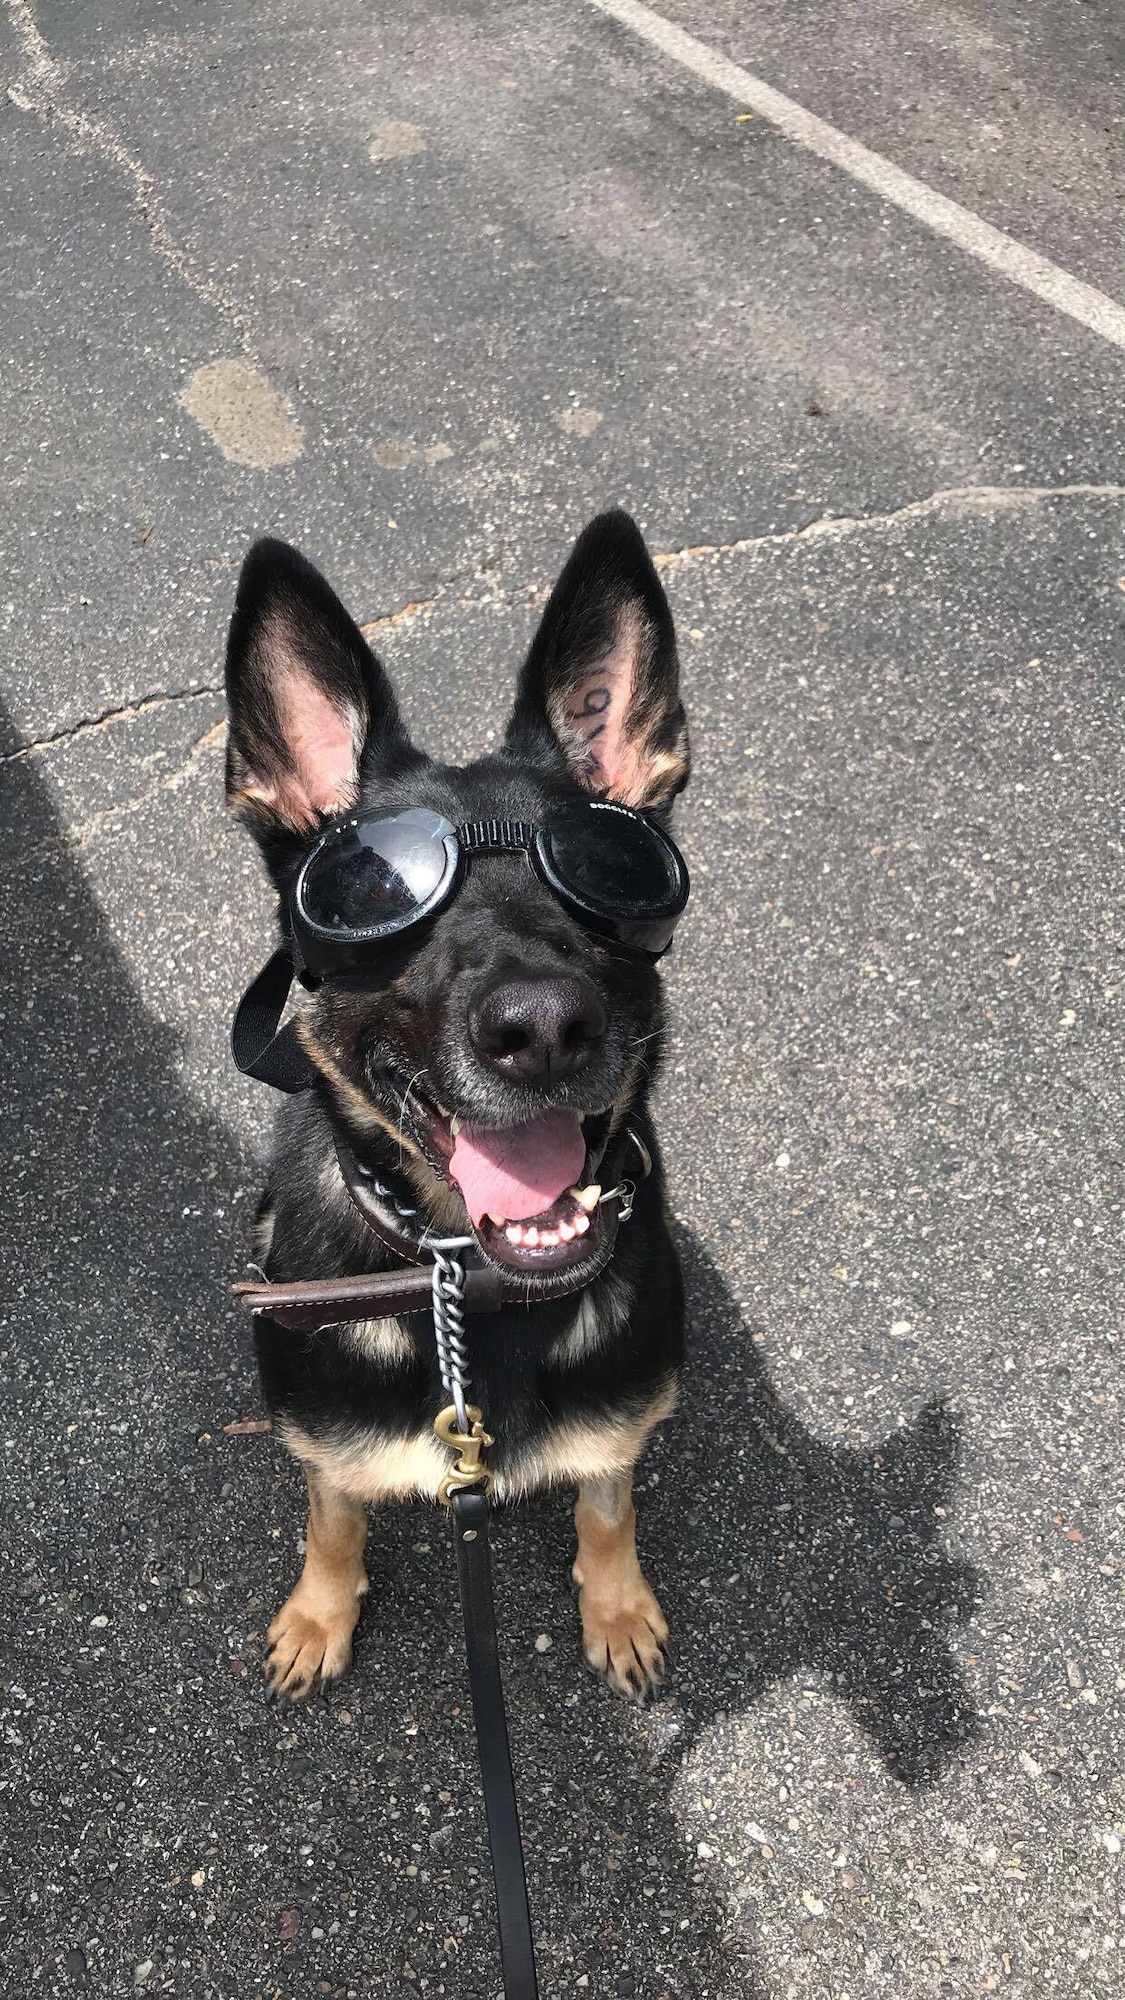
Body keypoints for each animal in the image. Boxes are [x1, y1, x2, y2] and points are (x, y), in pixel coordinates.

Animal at [223, 508, 688, 1696]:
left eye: (613, 869)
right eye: (373, 890)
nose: (544, 1028)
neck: (465, 1285)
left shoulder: (617, 1433)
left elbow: (609, 1505)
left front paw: (617, 1606)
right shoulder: (328, 1448)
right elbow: (333, 1515)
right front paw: (319, 1612)